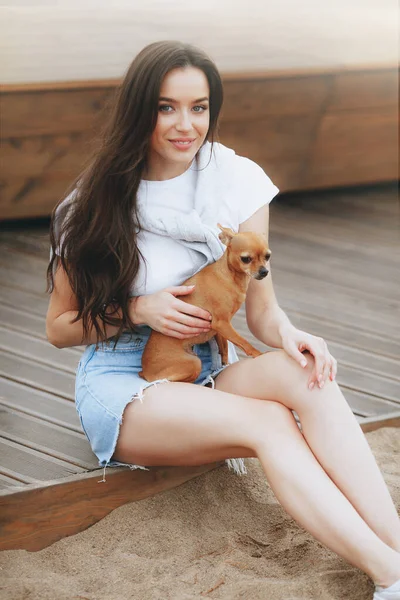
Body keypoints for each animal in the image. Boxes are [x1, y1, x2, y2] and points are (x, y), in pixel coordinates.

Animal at [139, 223, 270, 382]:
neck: (230, 277)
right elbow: (243, 341)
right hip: (194, 363)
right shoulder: (222, 323)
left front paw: (224, 363)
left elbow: (224, 346)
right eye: (246, 259)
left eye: (267, 256)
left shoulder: (221, 327)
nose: (264, 271)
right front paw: (258, 354)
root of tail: (145, 371)